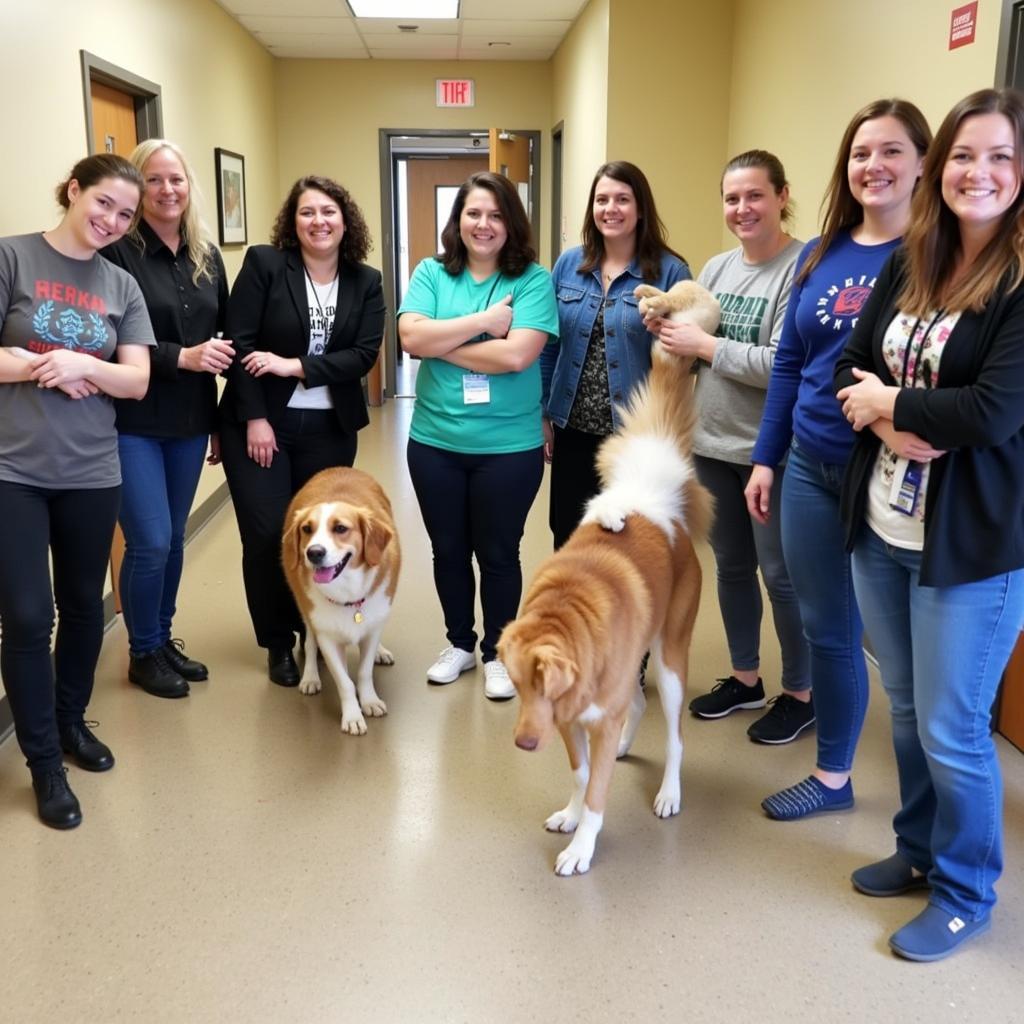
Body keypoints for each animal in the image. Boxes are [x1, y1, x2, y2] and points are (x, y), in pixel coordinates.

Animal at [286, 464, 405, 737]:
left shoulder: (373, 620)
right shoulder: (327, 636)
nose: (314, 552)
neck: (348, 590)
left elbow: (364, 671)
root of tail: (336, 468)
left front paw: (370, 700)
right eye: (307, 529)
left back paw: (381, 652)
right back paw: (310, 676)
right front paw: (352, 715)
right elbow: (345, 682)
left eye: (340, 528)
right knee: (309, 643)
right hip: (305, 611)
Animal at [499, 280, 716, 872]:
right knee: (636, 704)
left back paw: (669, 792)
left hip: (670, 656)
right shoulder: (572, 720)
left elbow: (598, 791)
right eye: (518, 686)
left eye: (542, 684)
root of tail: (656, 500)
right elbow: (580, 775)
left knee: (675, 737)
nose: (524, 744)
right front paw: (572, 814)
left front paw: (583, 845)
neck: (567, 612)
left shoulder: (585, 711)